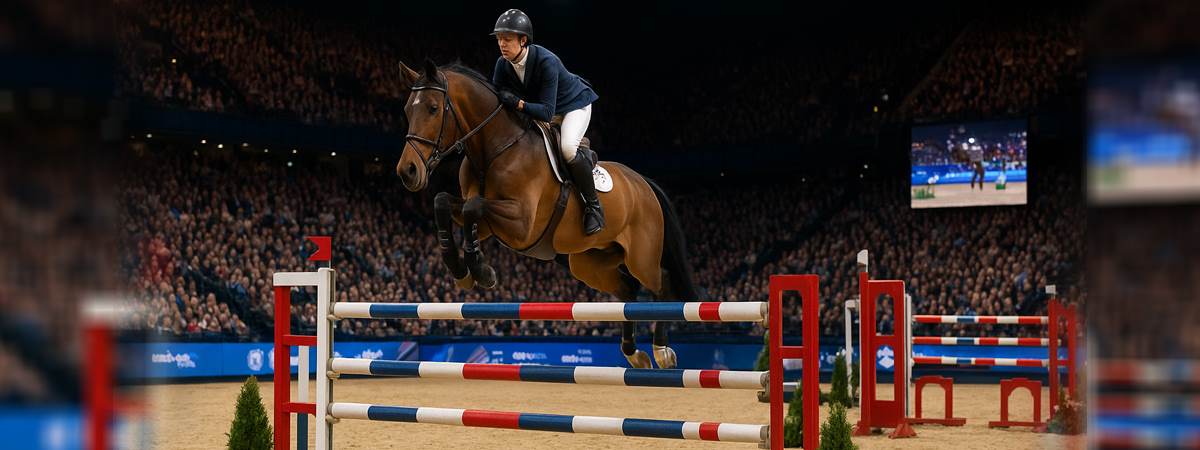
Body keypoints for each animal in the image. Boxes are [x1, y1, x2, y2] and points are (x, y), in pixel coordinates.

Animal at [394, 59, 698, 369]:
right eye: (407, 109)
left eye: (433, 108)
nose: (408, 171)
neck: (494, 149)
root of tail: (644, 183)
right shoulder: (486, 223)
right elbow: (444, 203)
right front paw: (461, 269)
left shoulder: (520, 224)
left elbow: (473, 207)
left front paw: (480, 270)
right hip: (589, 263)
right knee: (628, 291)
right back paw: (634, 354)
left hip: (640, 256)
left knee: (661, 285)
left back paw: (661, 351)